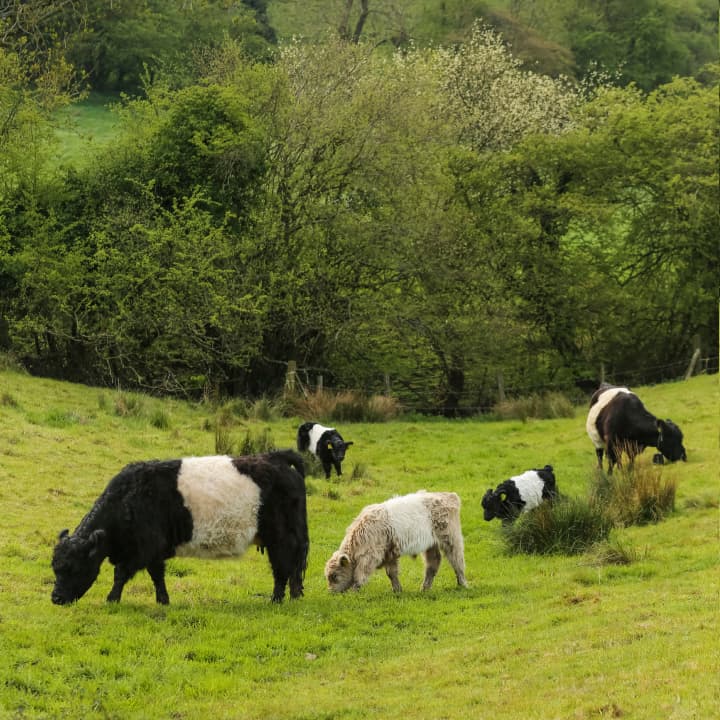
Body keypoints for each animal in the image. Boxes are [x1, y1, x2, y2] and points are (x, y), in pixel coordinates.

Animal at [51, 450, 309, 605]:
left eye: (73, 568)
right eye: (55, 568)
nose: (56, 598)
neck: (128, 498)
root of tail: (276, 457)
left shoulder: (143, 548)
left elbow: (121, 574)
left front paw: (112, 599)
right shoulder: (153, 551)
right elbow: (157, 575)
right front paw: (163, 601)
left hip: (281, 538)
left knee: (282, 569)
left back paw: (276, 600)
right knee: (292, 570)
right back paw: (293, 597)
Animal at [324, 490, 468, 594]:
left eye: (334, 575)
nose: (331, 592)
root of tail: (449, 495)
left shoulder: (370, 557)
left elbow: (360, 575)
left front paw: (354, 592)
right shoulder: (389, 555)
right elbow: (392, 573)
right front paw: (397, 591)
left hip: (451, 539)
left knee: (457, 560)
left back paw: (463, 584)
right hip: (431, 545)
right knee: (433, 564)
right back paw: (424, 588)